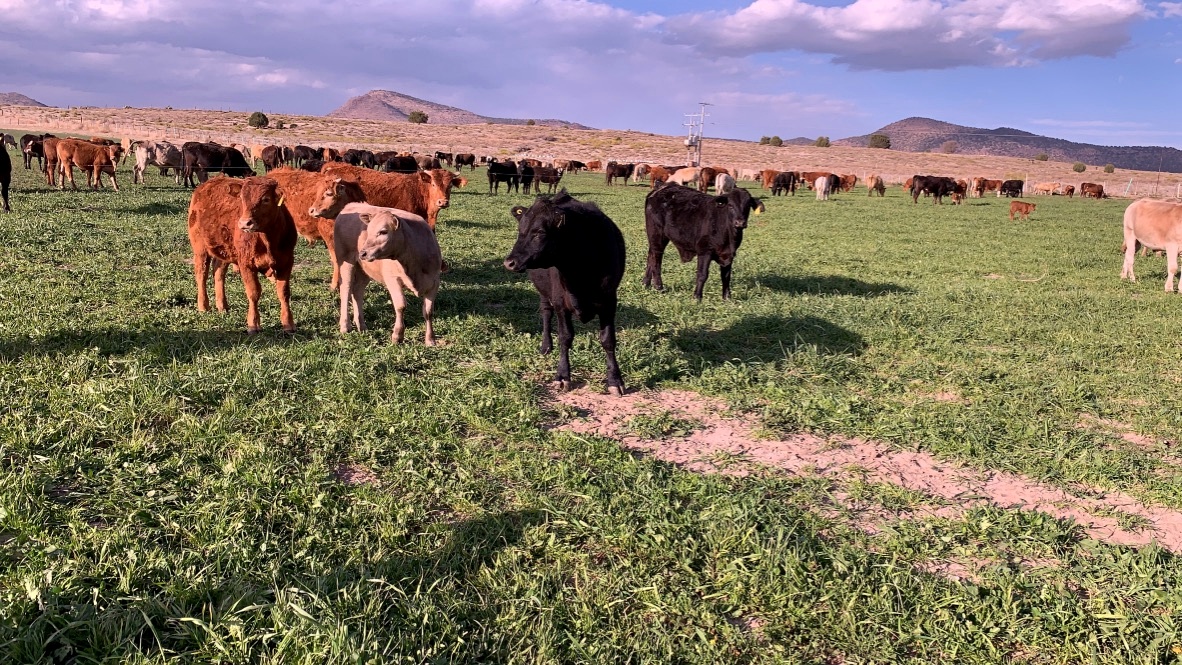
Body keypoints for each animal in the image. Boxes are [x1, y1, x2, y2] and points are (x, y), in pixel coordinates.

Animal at [187, 176, 298, 333]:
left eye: (266, 199)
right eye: (242, 198)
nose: (245, 223)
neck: (268, 240)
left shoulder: (286, 262)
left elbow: (283, 292)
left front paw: (288, 323)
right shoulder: (246, 263)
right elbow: (253, 292)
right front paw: (253, 324)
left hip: (225, 251)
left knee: (218, 273)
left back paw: (222, 305)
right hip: (200, 248)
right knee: (201, 274)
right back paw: (203, 306)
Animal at [332, 202, 443, 345]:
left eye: (383, 231)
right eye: (368, 231)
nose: (362, 253)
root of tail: (351, 205)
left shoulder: (434, 282)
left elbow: (428, 312)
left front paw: (430, 339)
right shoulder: (393, 279)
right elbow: (401, 306)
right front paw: (397, 336)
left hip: (365, 269)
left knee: (357, 291)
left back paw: (362, 326)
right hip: (345, 261)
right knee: (345, 289)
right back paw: (345, 326)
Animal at [504, 191, 626, 395]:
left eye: (540, 232)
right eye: (520, 230)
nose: (509, 262)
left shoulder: (609, 302)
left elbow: (608, 340)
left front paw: (615, 379)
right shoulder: (561, 303)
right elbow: (565, 337)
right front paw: (562, 376)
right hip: (544, 293)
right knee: (546, 313)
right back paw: (546, 346)